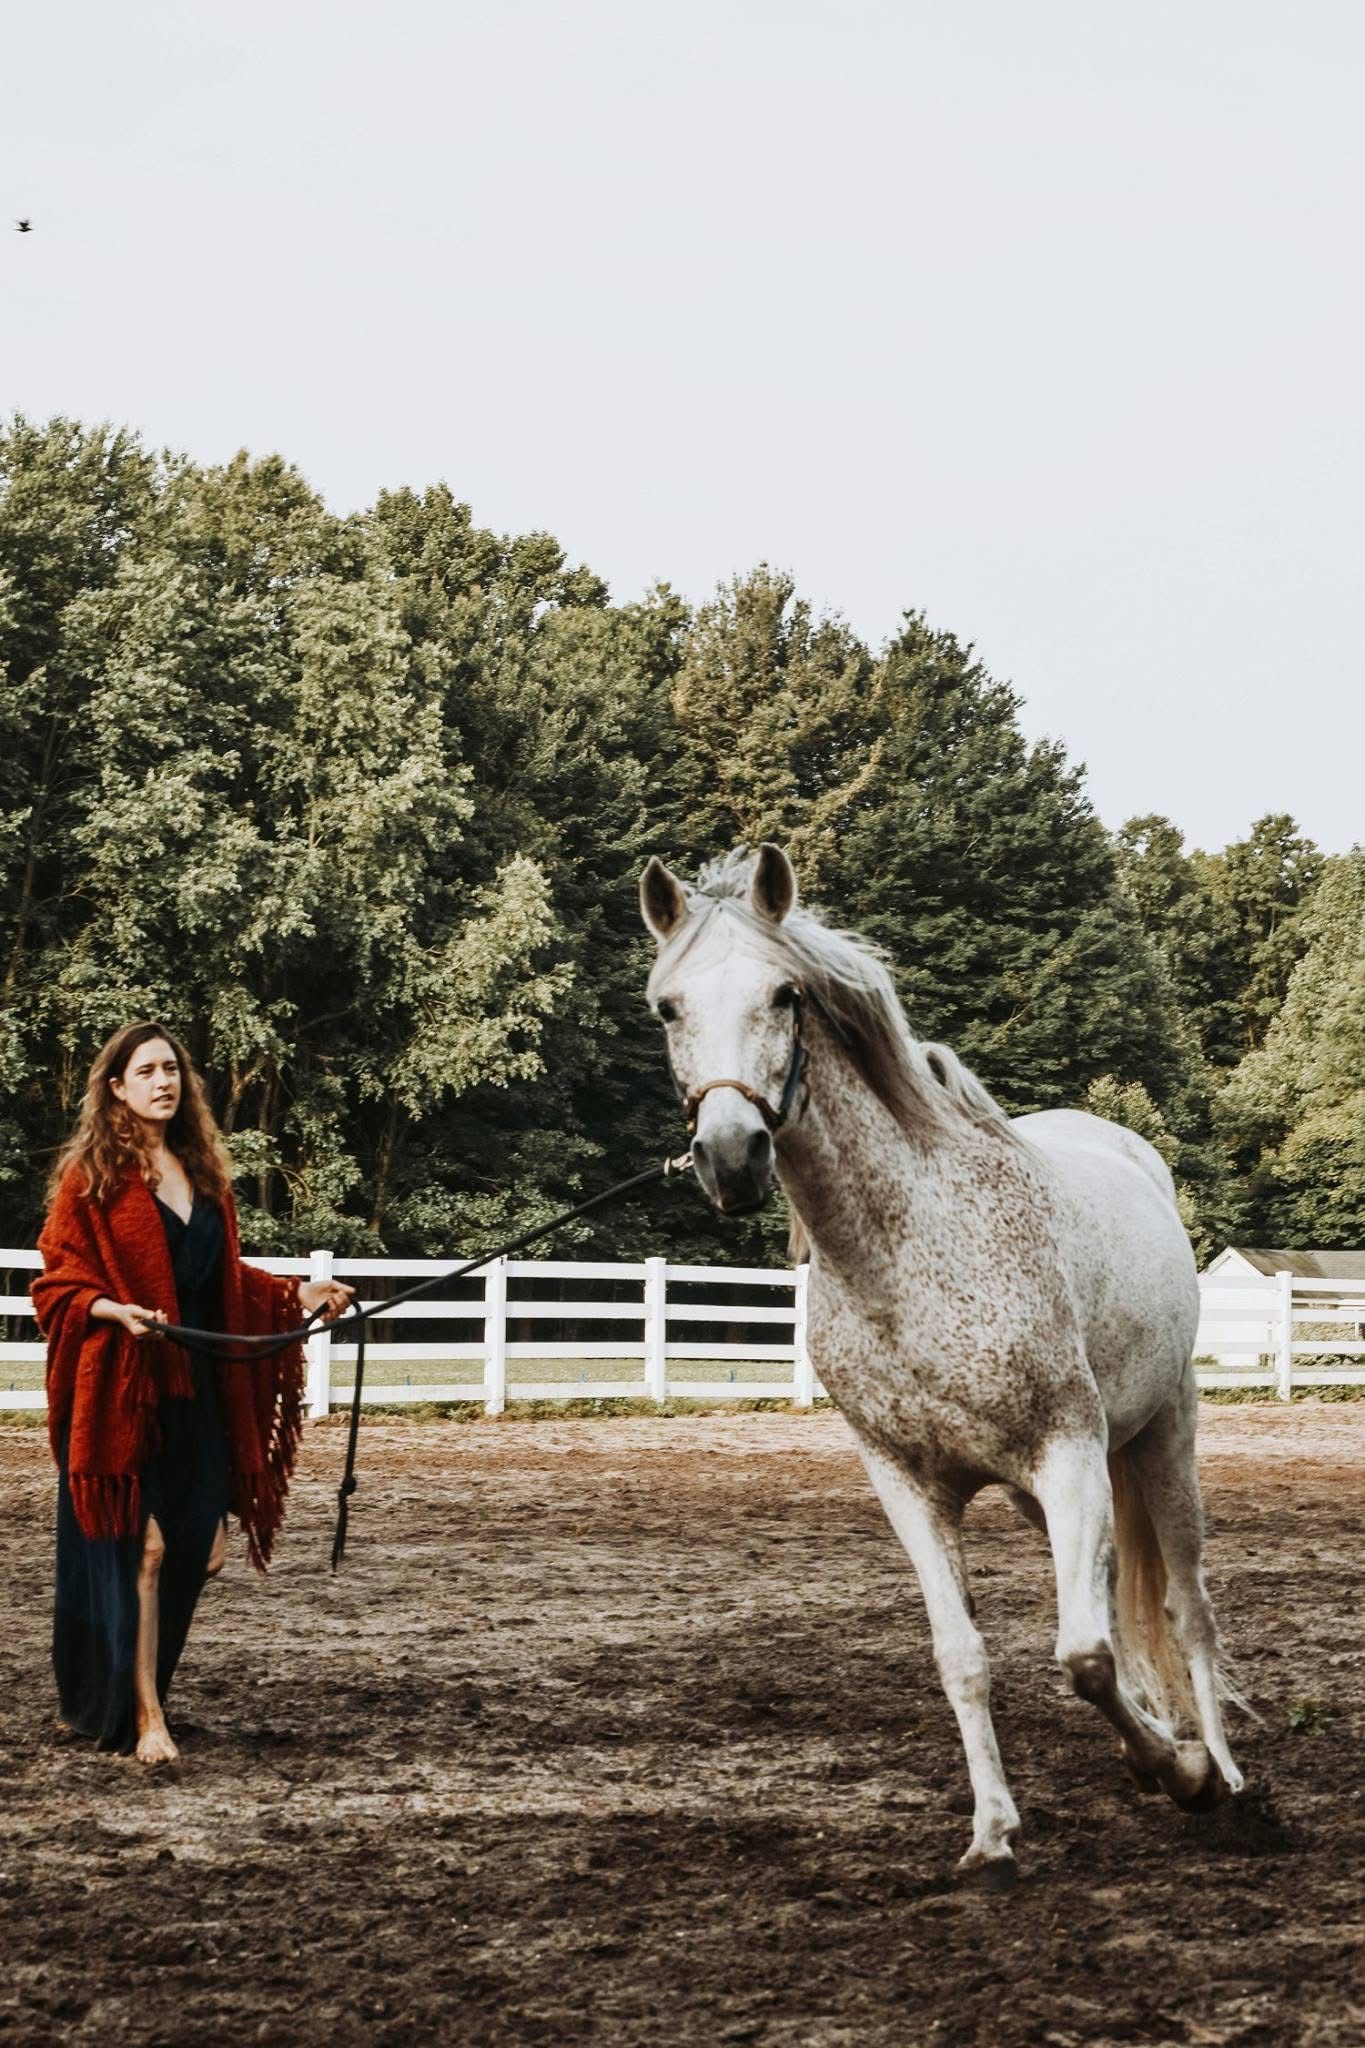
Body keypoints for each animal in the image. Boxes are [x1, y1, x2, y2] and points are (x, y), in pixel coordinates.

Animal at [639, 842, 1245, 1888]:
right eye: (668, 1008)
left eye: (786, 995)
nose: (730, 1153)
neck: (903, 1259)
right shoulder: (910, 1485)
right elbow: (964, 1655)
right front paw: (995, 1831)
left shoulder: (1067, 1453)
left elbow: (1083, 1654)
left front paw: (1184, 1773)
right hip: (1053, 1490)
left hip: (1159, 1438)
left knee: (1185, 1608)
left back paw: (1224, 1768)